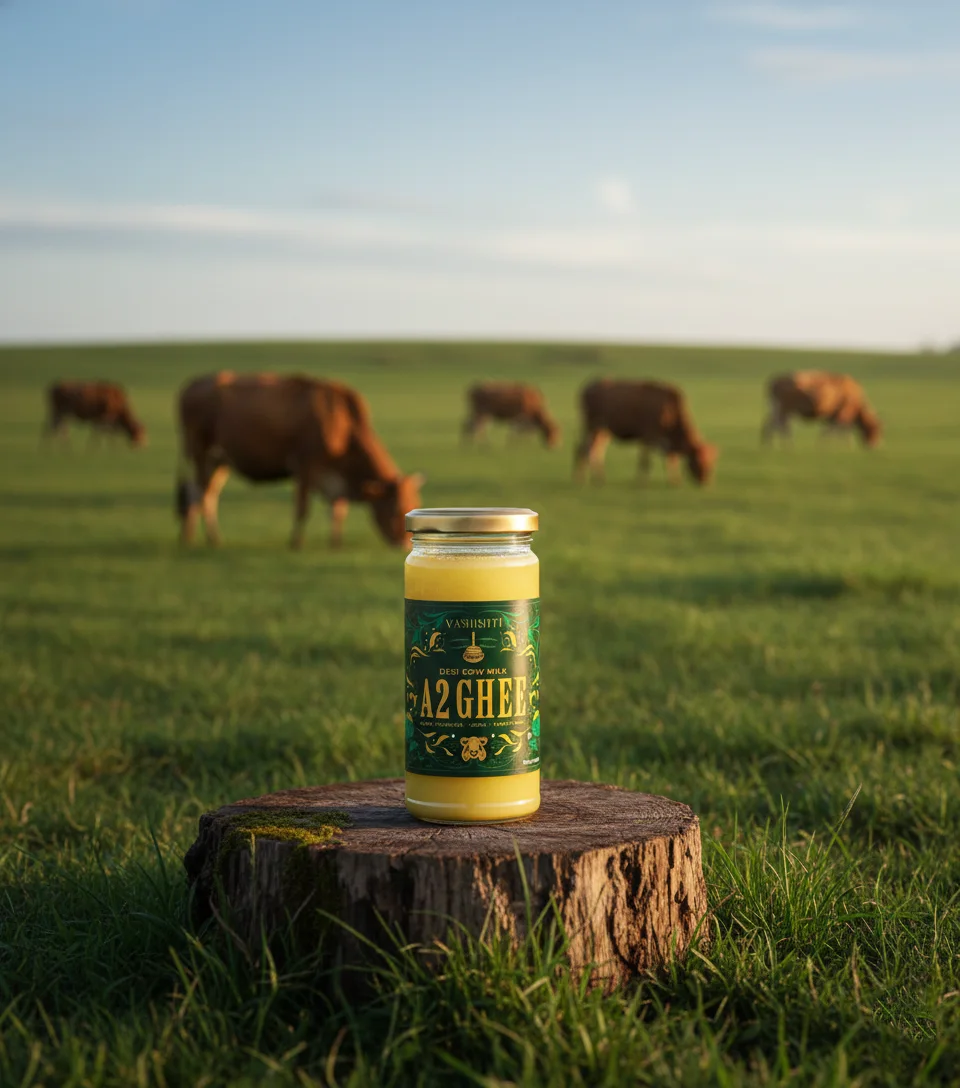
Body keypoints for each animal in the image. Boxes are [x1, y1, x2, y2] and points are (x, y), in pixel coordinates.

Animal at [175, 372, 425, 549]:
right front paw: (296, 542)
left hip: (219, 461)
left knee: (204, 495)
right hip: (201, 454)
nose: (404, 545)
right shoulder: (305, 467)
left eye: (415, 503)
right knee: (200, 495)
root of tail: (193, 384)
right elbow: (303, 508)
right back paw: (204, 539)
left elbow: (338, 509)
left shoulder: (333, 477)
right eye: (395, 509)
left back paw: (197, 537)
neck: (340, 425)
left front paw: (335, 543)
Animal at [574, 379, 718, 486]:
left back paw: (595, 480)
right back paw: (585, 481)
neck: (669, 409)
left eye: (711, 462)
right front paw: (641, 483)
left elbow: (671, 459)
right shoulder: (648, 437)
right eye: (697, 460)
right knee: (584, 450)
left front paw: (674, 481)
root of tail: (588, 386)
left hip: (602, 431)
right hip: (591, 426)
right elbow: (646, 462)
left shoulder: (664, 441)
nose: (705, 481)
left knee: (595, 450)